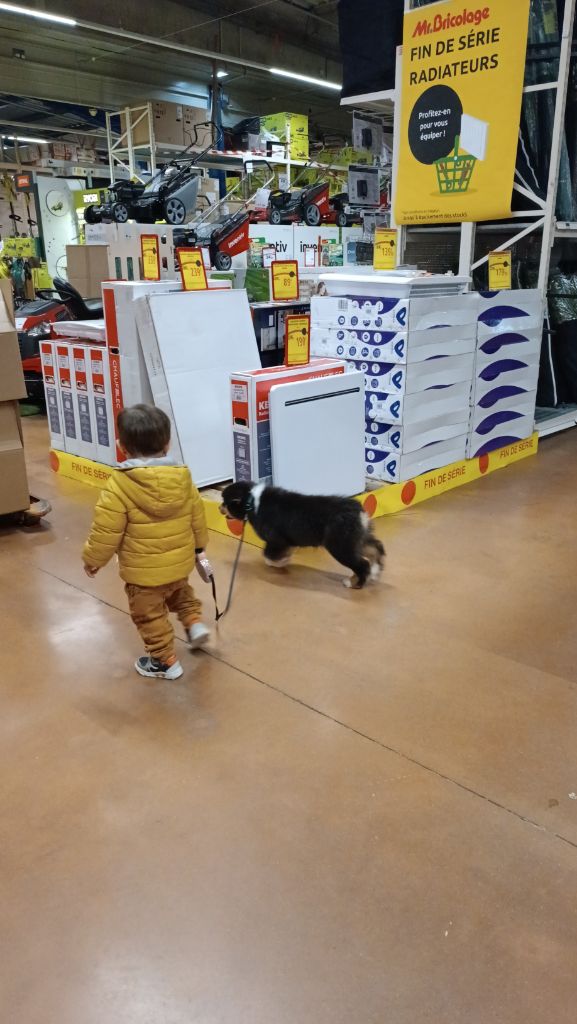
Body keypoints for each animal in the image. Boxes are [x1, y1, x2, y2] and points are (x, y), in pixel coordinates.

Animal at [223, 481, 385, 589]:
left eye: (225, 502)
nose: (220, 508)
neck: (251, 501)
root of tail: (358, 510)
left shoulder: (276, 540)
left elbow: (267, 554)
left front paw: (280, 562)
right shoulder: (285, 542)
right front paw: (284, 559)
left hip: (341, 546)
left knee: (362, 564)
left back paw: (354, 583)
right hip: (357, 539)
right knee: (376, 548)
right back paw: (375, 572)